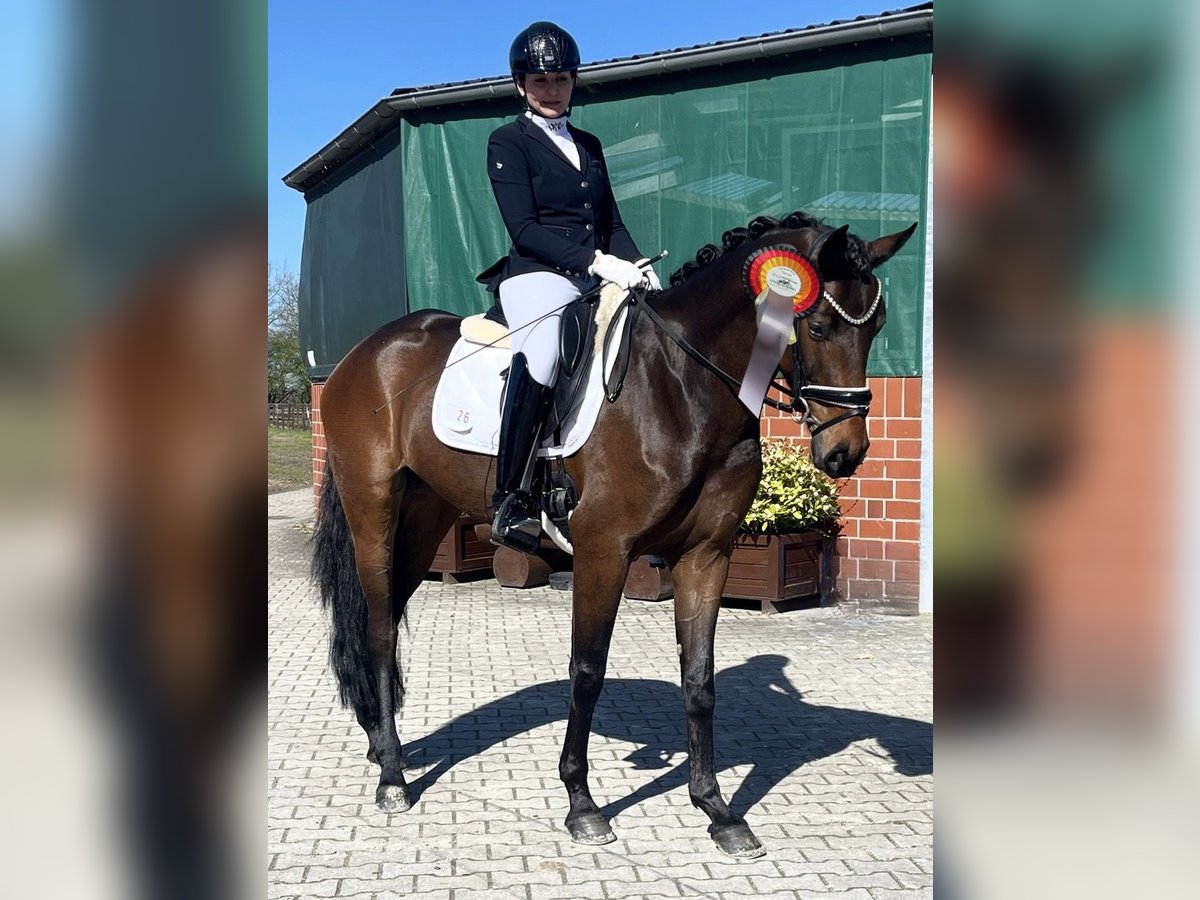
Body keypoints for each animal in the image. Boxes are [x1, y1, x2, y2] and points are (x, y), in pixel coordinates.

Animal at [312, 210, 916, 857]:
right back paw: (393, 780)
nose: (845, 454)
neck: (681, 387)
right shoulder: (604, 550)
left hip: (426, 516)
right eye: (821, 326)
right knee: (378, 628)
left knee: (383, 618)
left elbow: (699, 679)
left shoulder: (706, 555)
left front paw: (717, 810)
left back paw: (381, 745)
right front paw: (582, 805)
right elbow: (587, 671)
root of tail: (363, 353)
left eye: (878, 327)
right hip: (373, 511)